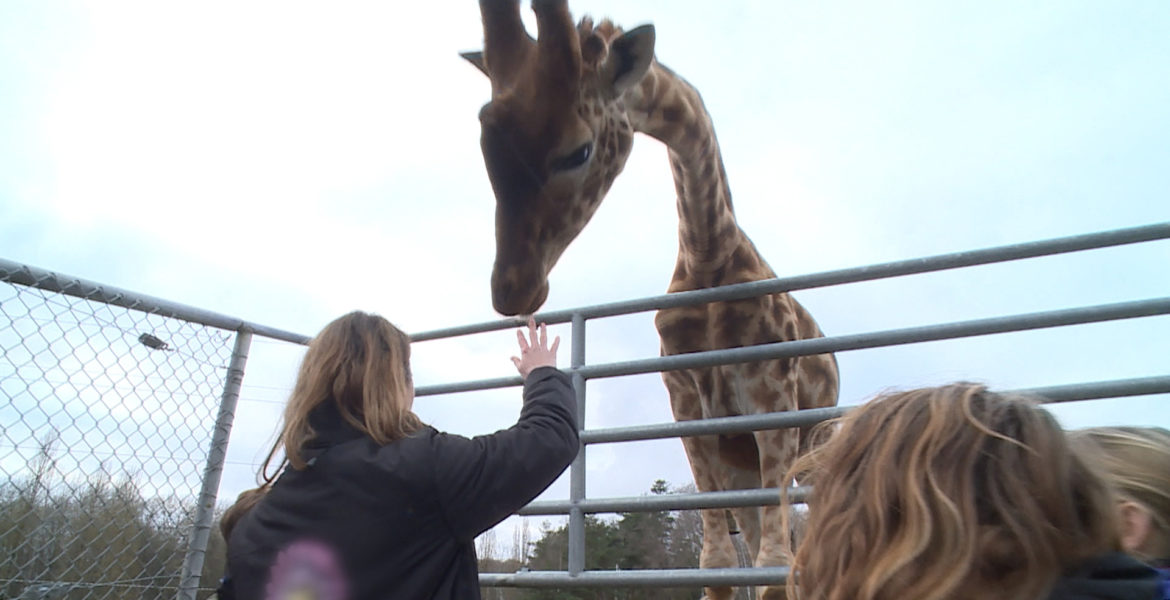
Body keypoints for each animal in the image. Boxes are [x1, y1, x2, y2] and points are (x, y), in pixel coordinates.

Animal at [460, 2, 837, 596]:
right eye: (485, 146)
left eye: (579, 149)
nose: (513, 288)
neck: (709, 258)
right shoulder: (689, 408)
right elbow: (720, 564)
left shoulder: (771, 399)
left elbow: (776, 567)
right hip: (745, 464)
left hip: (815, 447)